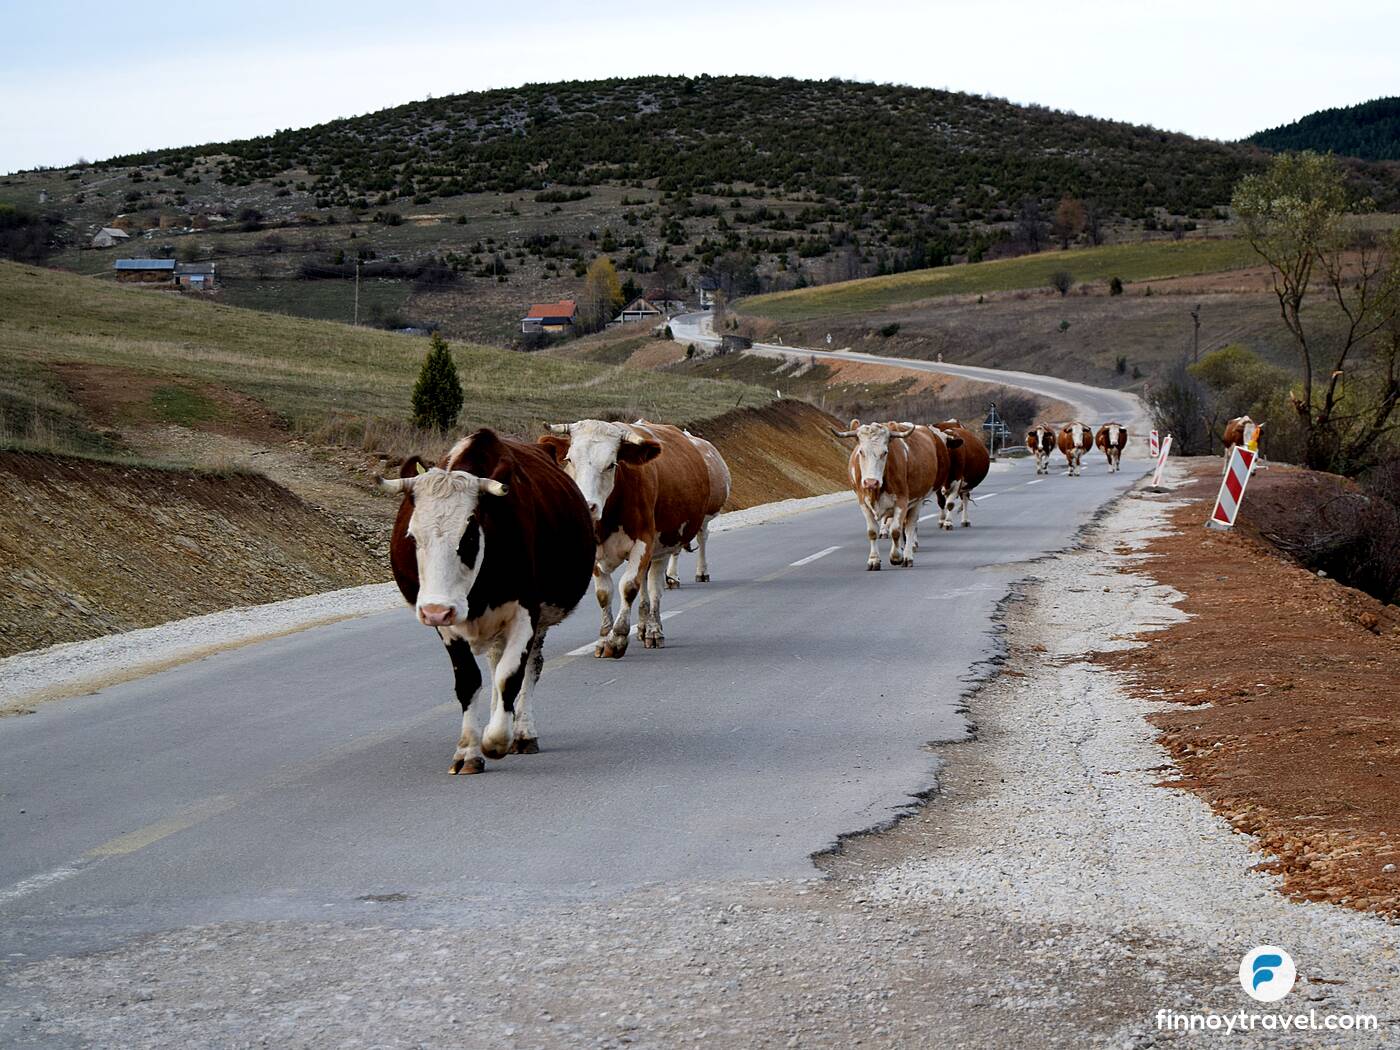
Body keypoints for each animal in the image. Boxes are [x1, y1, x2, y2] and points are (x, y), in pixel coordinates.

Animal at [381, 429, 595, 774]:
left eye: (468, 537)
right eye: (412, 537)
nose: (434, 611)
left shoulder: (526, 613)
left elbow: (511, 676)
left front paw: (496, 739)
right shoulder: (448, 625)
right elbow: (470, 681)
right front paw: (468, 751)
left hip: (539, 620)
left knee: (530, 668)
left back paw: (522, 732)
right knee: (496, 664)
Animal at [538, 419, 712, 657]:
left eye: (611, 464)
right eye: (570, 459)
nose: (588, 505)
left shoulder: (644, 543)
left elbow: (628, 586)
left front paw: (617, 639)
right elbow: (604, 593)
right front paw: (604, 638)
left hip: (664, 547)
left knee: (654, 588)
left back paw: (653, 630)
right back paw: (643, 626)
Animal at [832, 419, 941, 570]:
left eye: (885, 452)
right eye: (861, 452)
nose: (871, 482)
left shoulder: (902, 502)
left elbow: (895, 530)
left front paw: (896, 557)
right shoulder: (863, 502)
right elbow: (872, 532)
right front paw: (873, 560)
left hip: (917, 501)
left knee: (910, 527)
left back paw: (908, 556)